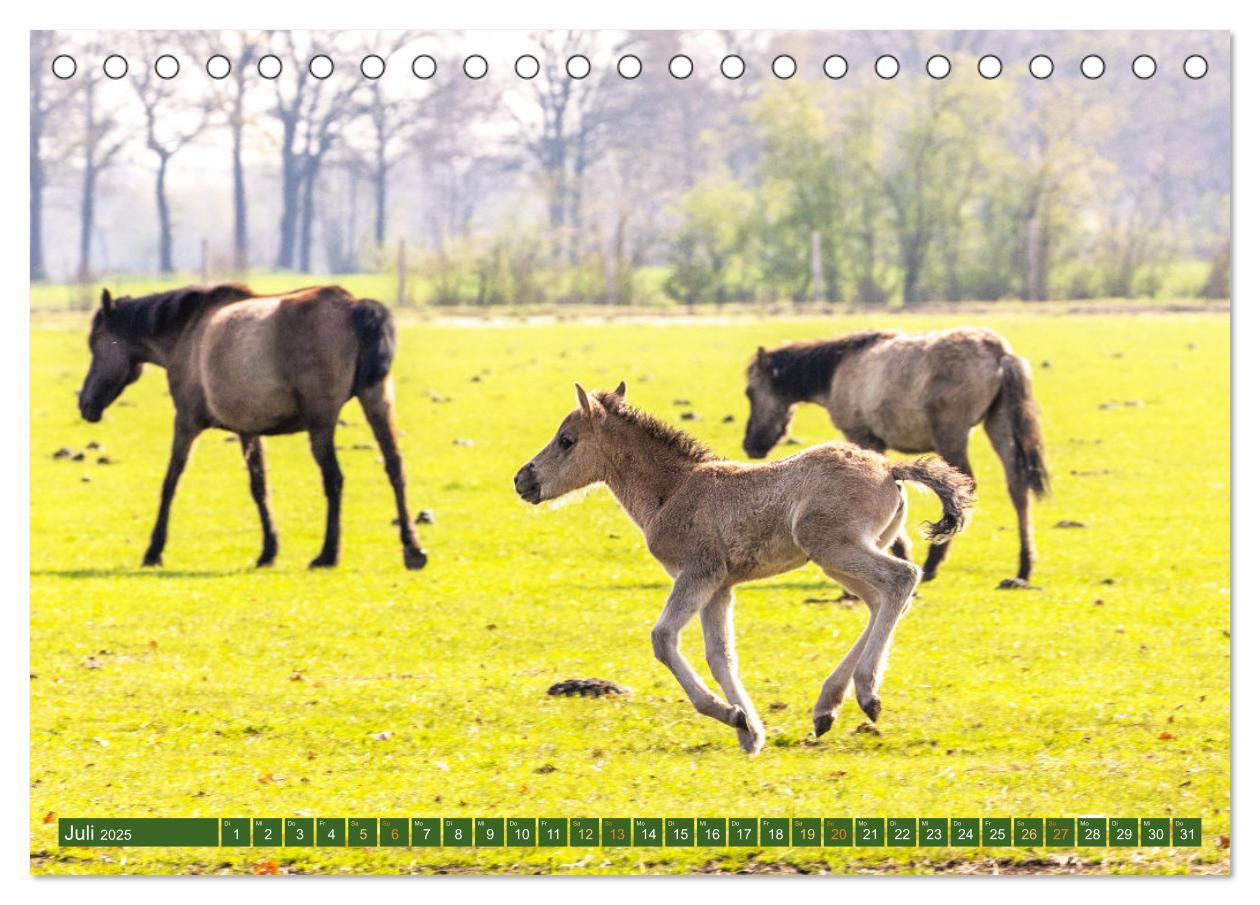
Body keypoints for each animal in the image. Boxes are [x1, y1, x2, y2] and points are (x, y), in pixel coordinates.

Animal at [76, 283, 428, 569]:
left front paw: (154, 550)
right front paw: (268, 550)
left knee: (334, 479)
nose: (85, 403)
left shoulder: (186, 421)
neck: (187, 330)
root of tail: (355, 306)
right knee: (395, 466)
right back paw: (412, 549)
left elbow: (170, 481)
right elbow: (259, 486)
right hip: (377, 400)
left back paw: (328, 554)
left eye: (95, 344)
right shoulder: (248, 428)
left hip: (321, 422)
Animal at [511, 385, 972, 756]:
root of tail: (890, 468)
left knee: (902, 579)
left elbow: (663, 638)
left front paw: (729, 714)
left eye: (566, 440)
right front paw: (750, 730)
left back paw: (867, 693)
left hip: (835, 548)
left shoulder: (699, 572)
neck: (672, 490)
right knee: (881, 600)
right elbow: (722, 656)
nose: (521, 480)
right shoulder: (720, 587)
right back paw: (826, 707)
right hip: (842, 556)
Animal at [740, 330, 1048, 584]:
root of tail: (999, 352)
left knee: (964, 489)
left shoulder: (863, 436)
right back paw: (1024, 568)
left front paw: (902, 552)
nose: (750, 445)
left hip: (952, 435)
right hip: (1000, 424)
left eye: (751, 392)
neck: (838, 368)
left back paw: (933, 562)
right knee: (1018, 488)